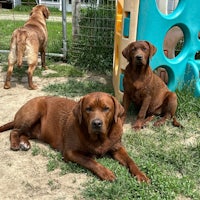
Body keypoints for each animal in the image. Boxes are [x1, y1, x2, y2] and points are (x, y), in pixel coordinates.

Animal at [0, 92, 150, 183]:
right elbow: (90, 161)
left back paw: (24, 143)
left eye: (106, 108)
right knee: (15, 131)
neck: (100, 138)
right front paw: (106, 173)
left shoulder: (117, 148)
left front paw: (141, 174)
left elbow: (131, 161)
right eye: (88, 109)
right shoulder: (70, 152)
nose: (96, 123)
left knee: (24, 133)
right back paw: (15, 143)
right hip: (33, 112)